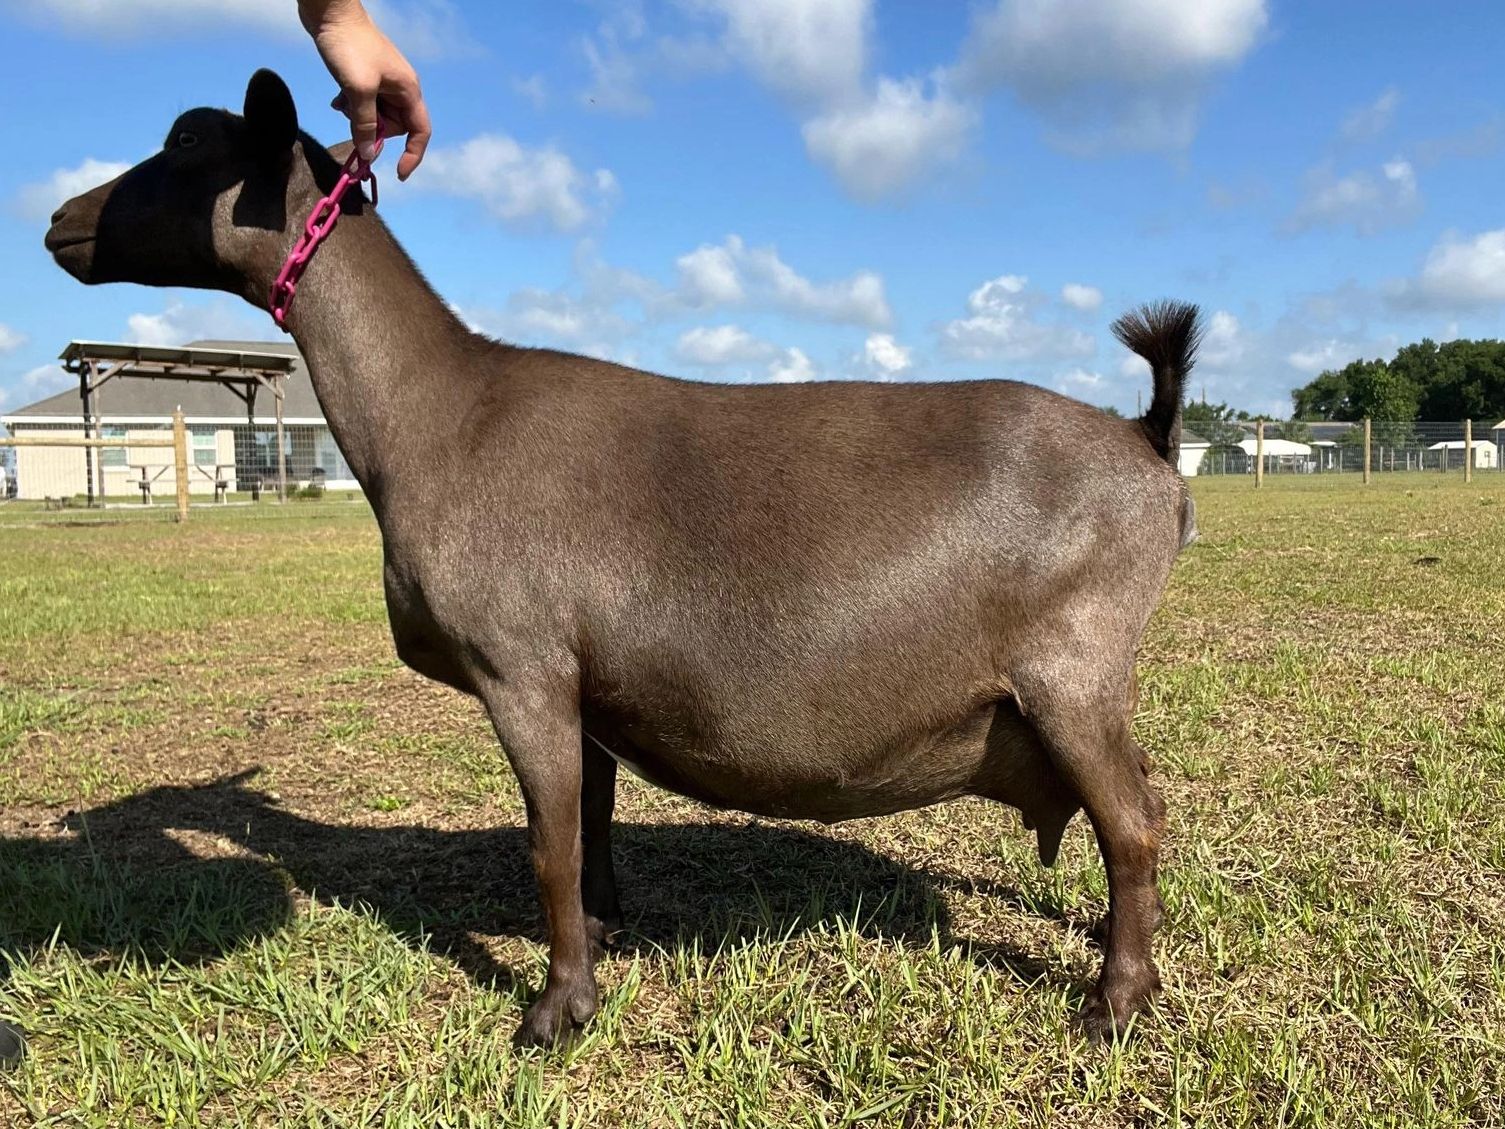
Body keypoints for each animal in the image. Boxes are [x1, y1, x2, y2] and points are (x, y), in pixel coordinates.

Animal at [45, 70, 1201, 1048]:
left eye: (189, 143)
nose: (58, 222)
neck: (441, 417)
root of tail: (1147, 440)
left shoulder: (520, 667)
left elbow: (547, 841)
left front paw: (555, 1010)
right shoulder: (583, 684)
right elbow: (591, 825)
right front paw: (599, 939)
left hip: (1071, 667)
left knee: (1134, 821)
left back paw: (1114, 1000)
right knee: (1132, 803)